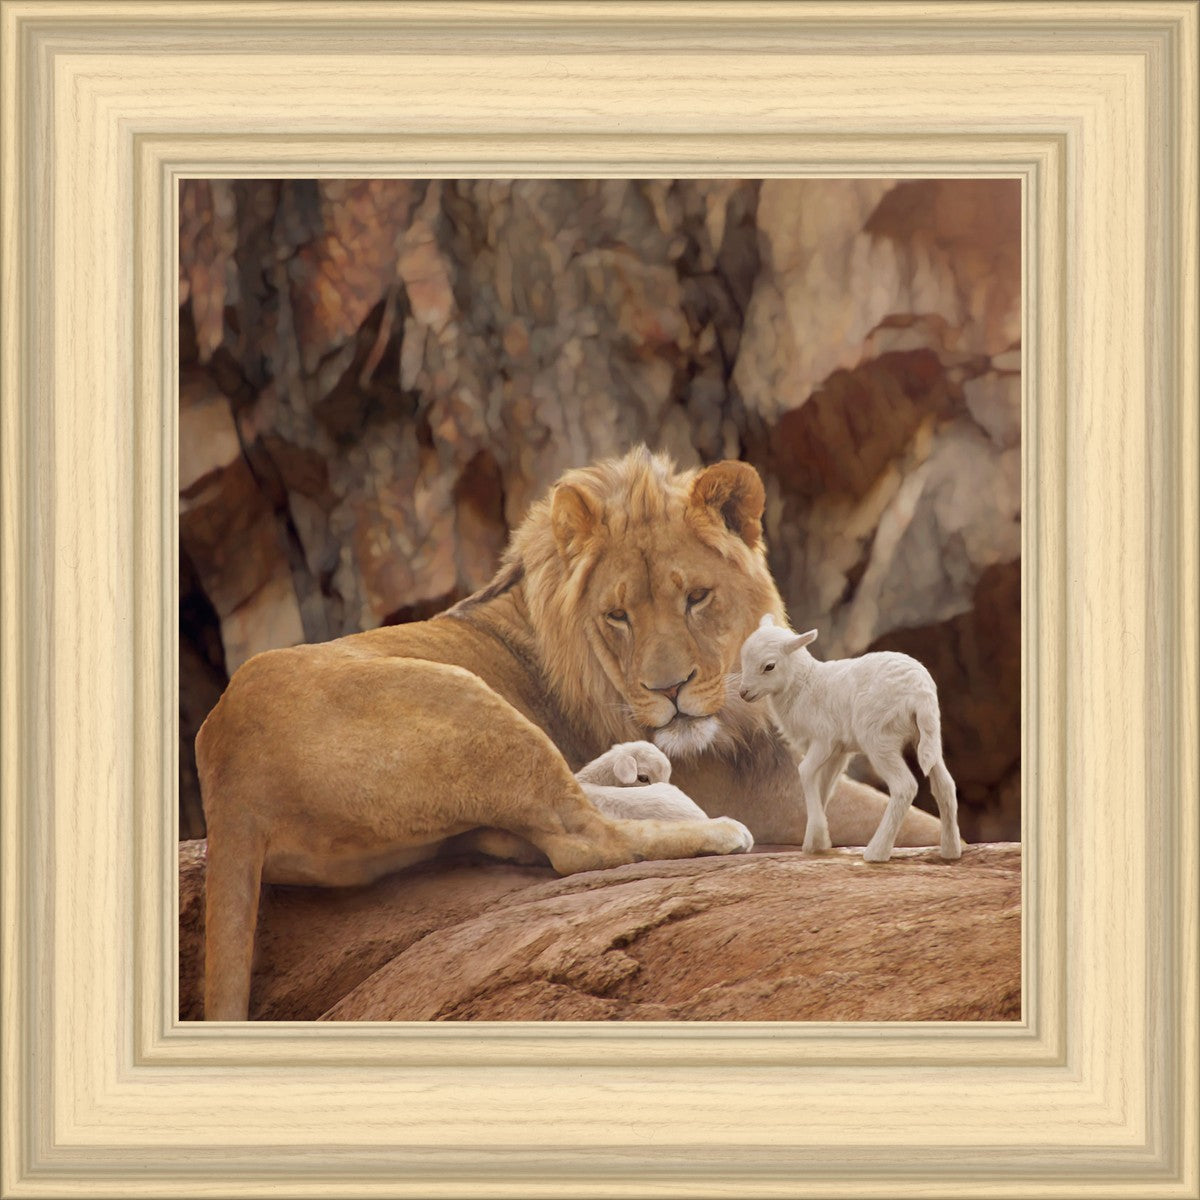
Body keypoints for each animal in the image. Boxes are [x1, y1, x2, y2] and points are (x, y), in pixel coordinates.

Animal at [738, 614, 963, 863]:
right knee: (945, 785)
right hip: (927, 735)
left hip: (879, 737)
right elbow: (824, 786)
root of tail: (920, 692)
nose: (743, 693)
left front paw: (817, 838)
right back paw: (950, 850)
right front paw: (816, 841)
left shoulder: (824, 739)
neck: (804, 685)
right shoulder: (838, 751)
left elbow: (805, 772)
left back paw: (876, 852)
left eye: (769, 666)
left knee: (904, 786)